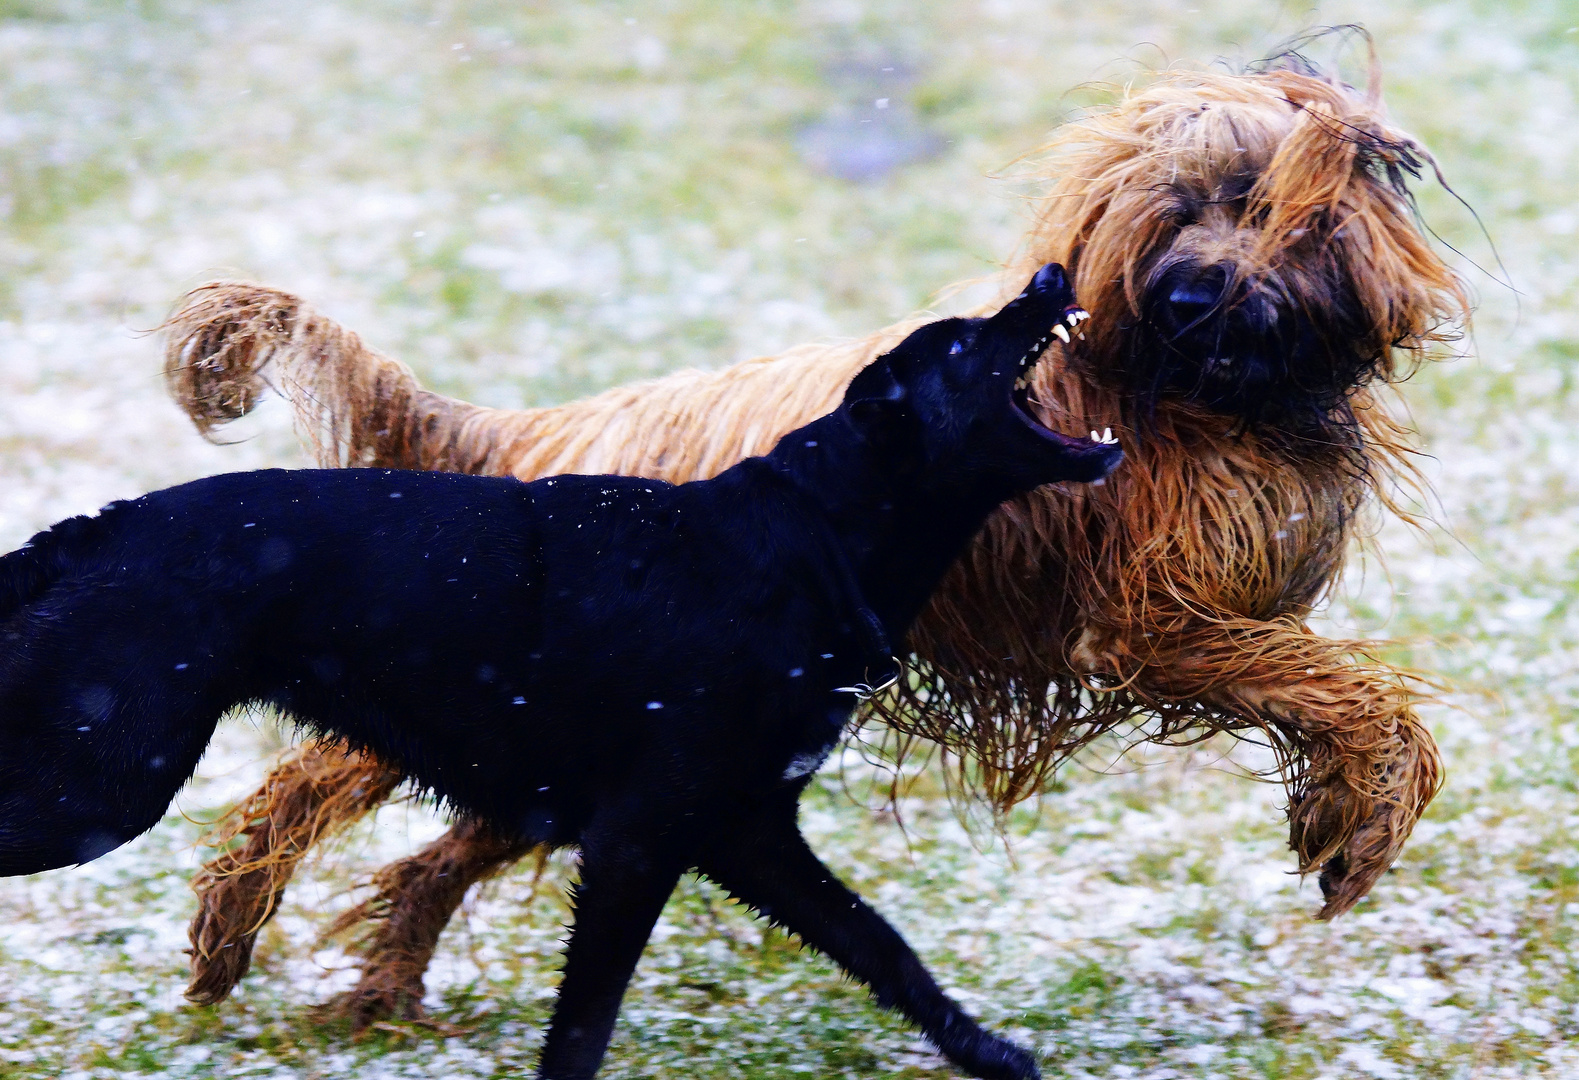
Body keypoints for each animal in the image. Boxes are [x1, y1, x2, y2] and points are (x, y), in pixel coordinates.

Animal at [0, 263, 1124, 1080]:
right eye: (964, 339)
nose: (1050, 273)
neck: (813, 535)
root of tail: (94, 529)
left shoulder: (748, 831)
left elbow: (882, 947)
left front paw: (992, 1054)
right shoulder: (638, 842)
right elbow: (584, 1022)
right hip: (102, 785)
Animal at [160, 56, 1465, 1023]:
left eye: (1259, 204)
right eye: (1179, 210)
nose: (1193, 293)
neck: (1187, 384)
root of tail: (526, 437)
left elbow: (1330, 692)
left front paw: (1336, 817)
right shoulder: (1148, 626)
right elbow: (1346, 697)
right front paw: (1361, 822)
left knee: (428, 857)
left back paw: (381, 985)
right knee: (300, 784)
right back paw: (226, 935)